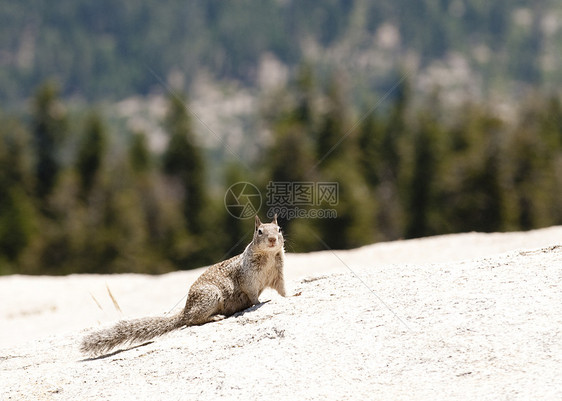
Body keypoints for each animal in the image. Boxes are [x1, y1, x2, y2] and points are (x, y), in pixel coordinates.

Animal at [79, 214, 284, 354]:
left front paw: (288, 296)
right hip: (211, 296)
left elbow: (282, 289)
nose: (273, 239)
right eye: (259, 232)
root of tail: (185, 310)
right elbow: (252, 293)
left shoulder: (279, 274)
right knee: (193, 320)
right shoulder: (249, 278)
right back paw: (214, 317)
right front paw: (257, 303)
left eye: (279, 229)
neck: (267, 257)